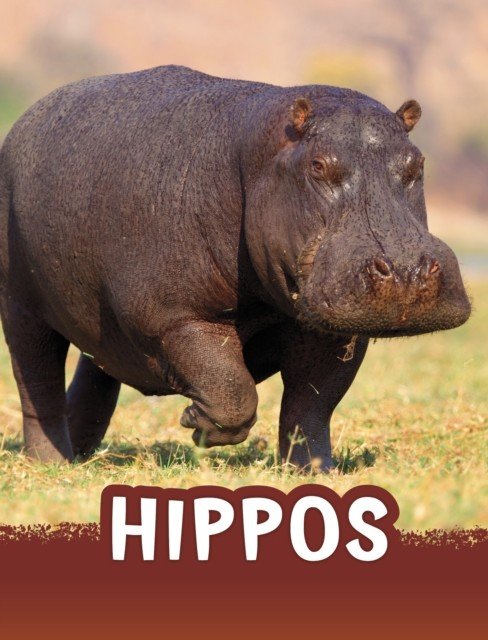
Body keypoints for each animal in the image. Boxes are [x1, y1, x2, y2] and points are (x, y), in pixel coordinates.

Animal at [0, 65, 470, 468]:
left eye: (417, 163)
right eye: (317, 165)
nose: (407, 270)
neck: (255, 158)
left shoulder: (335, 327)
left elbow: (311, 405)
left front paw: (314, 471)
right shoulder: (175, 316)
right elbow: (231, 388)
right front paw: (196, 425)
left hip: (99, 322)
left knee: (95, 371)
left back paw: (81, 453)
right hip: (21, 307)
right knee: (37, 384)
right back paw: (50, 462)